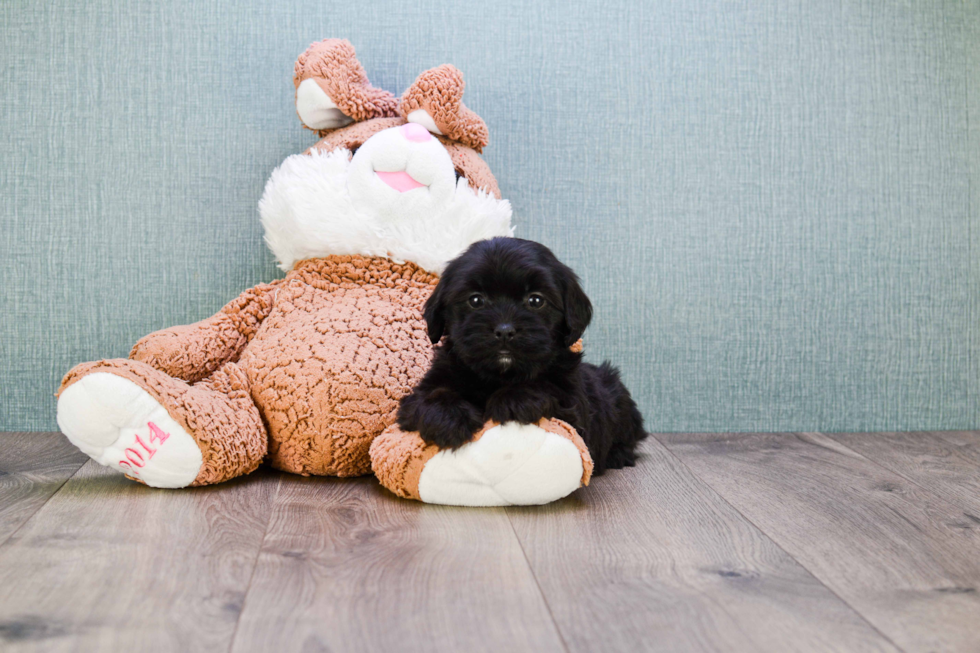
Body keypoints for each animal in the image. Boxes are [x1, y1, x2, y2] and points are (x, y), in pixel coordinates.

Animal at [394, 237, 648, 472]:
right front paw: (447, 417)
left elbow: (547, 387)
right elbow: (432, 395)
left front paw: (515, 398)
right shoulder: (422, 392)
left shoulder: (574, 413)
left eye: (535, 300)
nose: (505, 330)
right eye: (475, 300)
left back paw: (617, 455)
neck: (500, 375)